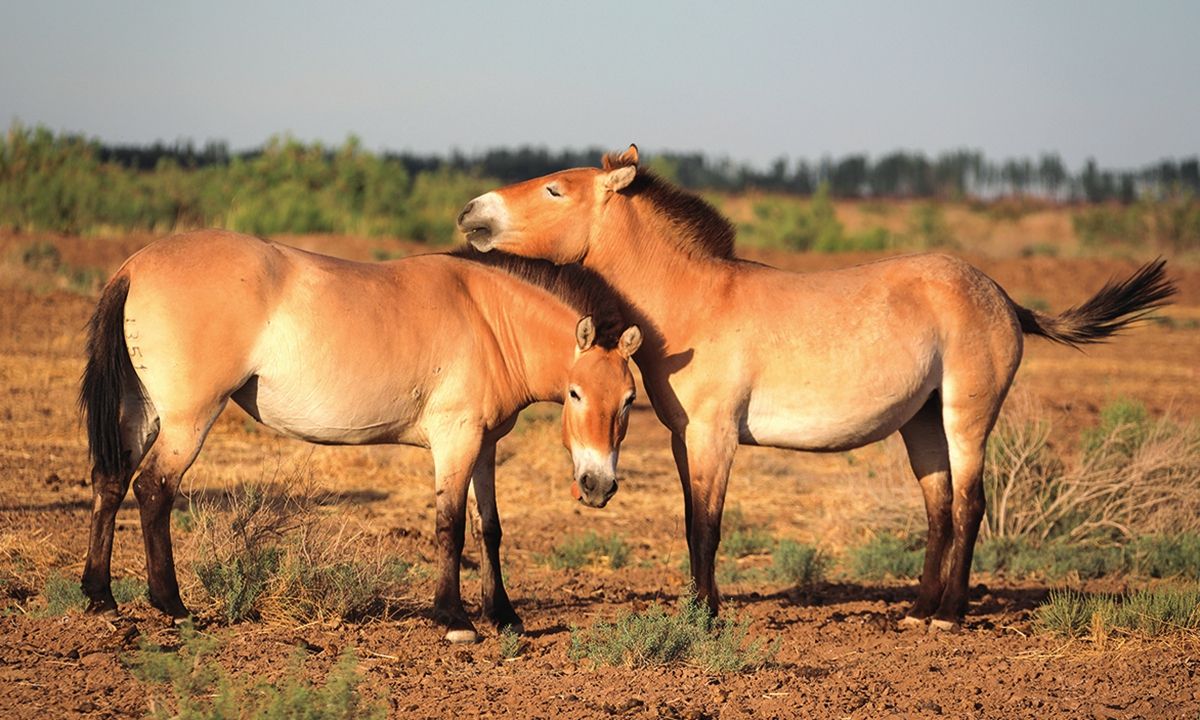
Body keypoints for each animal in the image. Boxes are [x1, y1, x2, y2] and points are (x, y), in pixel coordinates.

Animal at [79, 230, 643, 643]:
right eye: (575, 393)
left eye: (629, 399)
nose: (598, 486)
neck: (488, 318)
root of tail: (135, 266)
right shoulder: (455, 440)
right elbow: (451, 526)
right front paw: (455, 619)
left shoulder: (485, 445)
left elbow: (490, 529)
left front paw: (503, 615)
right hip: (187, 420)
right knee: (153, 489)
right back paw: (172, 606)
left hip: (143, 412)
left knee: (111, 482)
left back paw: (100, 598)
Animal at [460, 146, 1180, 628]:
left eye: (556, 190)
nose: (471, 212)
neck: (696, 299)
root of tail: (1003, 297)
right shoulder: (683, 438)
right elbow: (691, 521)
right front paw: (696, 608)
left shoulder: (716, 437)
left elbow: (709, 527)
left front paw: (706, 618)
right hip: (922, 423)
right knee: (939, 508)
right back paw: (917, 610)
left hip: (966, 418)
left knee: (971, 505)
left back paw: (949, 615)